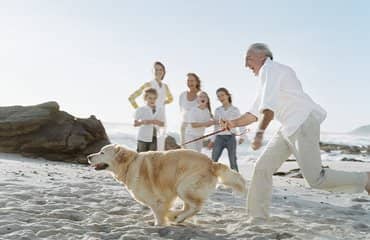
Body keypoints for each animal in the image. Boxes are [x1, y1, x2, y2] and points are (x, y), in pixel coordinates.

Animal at [88, 144, 247, 225]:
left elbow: (158, 216)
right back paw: (176, 216)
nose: (88, 156)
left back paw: (179, 217)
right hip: (181, 188)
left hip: (184, 187)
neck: (130, 164)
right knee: (188, 207)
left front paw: (159, 225)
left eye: (102, 152)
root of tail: (212, 163)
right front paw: (169, 215)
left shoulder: (156, 200)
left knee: (196, 206)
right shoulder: (165, 198)